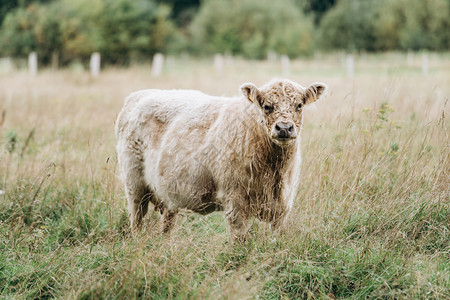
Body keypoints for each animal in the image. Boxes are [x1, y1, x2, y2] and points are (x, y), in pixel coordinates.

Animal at [115, 78, 326, 240]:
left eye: (299, 105)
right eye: (267, 106)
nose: (284, 128)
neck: (274, 170)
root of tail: (138, 95)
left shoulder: (282, 207)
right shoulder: (236, 202)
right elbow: (239, 240)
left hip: (168, 193)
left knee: (167, 224)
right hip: (134, 186)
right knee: (137, 219)